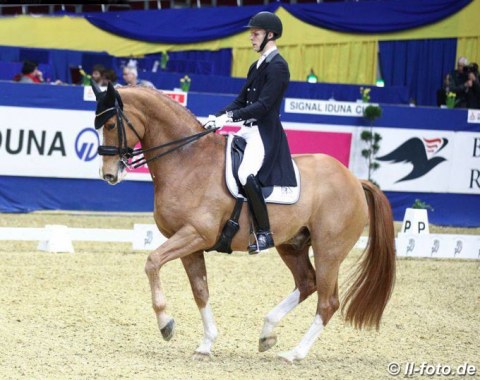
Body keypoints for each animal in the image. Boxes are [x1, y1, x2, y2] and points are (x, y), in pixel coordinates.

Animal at [92, 82, 396, 362]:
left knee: (328, 301)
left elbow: (152, 262)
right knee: (307, 283)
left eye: (110, 124)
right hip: (292, 244)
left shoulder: (196, 234)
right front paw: (206, 344)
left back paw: (294, 354)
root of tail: (355, 179)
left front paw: (166, 324)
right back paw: (267, 333)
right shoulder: (190, 244)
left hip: (328, 251)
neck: (188, 160)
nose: (108, 174)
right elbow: (200, 291)